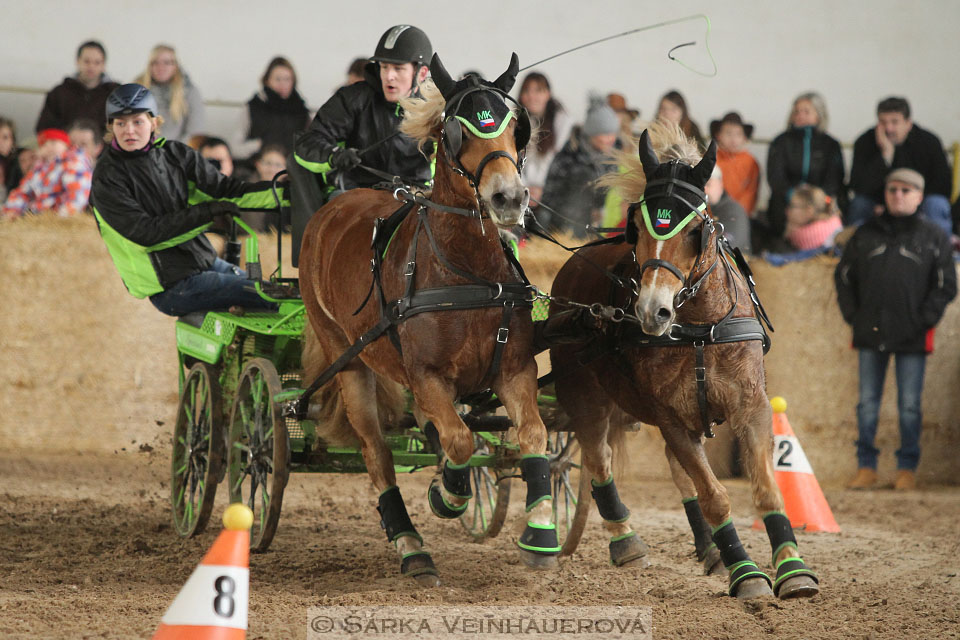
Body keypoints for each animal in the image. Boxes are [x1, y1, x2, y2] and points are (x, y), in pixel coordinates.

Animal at [298, 55, 556, 584]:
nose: (509, 198)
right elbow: (459, 439)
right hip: (347, 359)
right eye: (455, 131)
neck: (467, 272)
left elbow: (531, 433)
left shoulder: (514, 369)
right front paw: (447, 494)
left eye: (515, 128)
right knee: (377, 452)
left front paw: (540, 531)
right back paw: (411, 545)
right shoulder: (426, 377)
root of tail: (334, 207)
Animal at [548, 125, 816, 600]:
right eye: (637, 227)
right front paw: (746, 574)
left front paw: (792, 568)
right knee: (598, 463)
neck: (701, 331)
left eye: (695, 231)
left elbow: (765, 490)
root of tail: (574, 264)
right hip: (585, 399)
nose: (652, 311)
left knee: (674, 473)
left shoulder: (750, 406)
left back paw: (710, 551)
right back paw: (626, 542)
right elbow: (714, 496)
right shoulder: (670, 418)